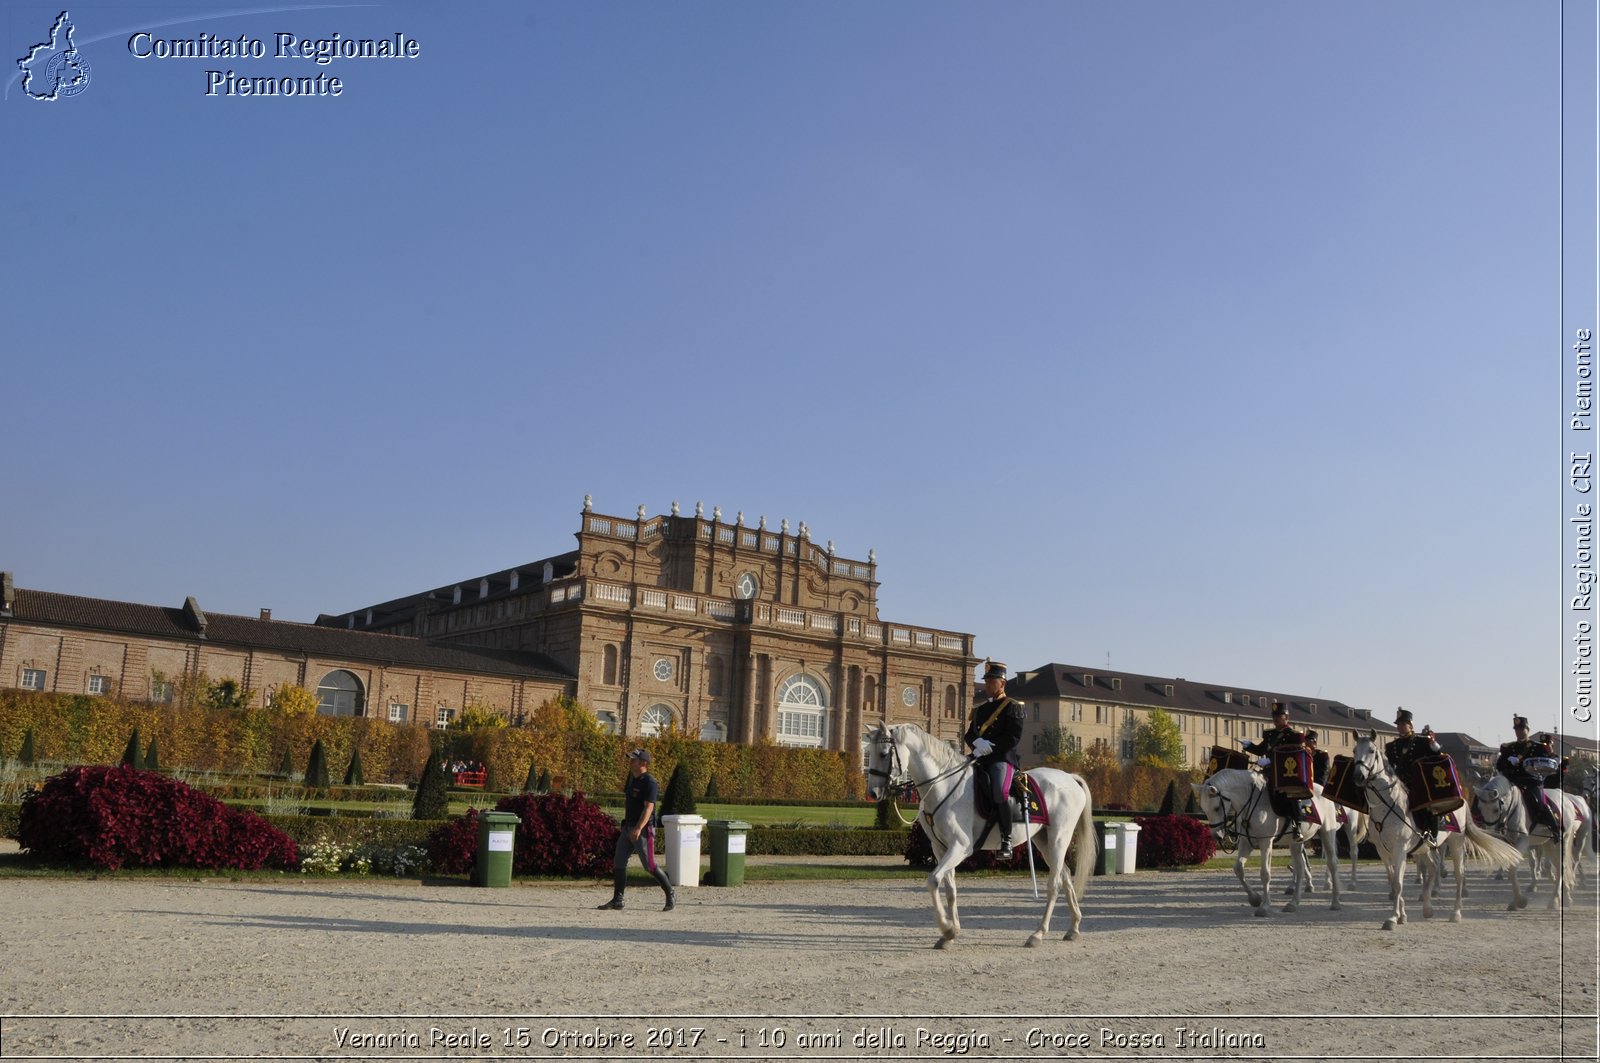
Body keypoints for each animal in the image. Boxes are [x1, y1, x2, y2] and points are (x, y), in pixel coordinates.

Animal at [864, 723, 1100, 947]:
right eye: (870, 753)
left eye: (883, 753)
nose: (873, 793)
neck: (943, 785)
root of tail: (1069, 777)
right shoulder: (940, 848)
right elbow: (950, 889)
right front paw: (951, 933)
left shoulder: (960, 846)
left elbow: (933, 881)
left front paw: (946, 928)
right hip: (1043, 840)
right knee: (1065, 875)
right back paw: (1073, 927)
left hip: (1059, 838)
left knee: (1055, 884)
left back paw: (1038, 933)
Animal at [1196, 768, 1344, 915]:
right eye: (1204, 809)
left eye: (1216, 808)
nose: (1217, 836)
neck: (1253, 801)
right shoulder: (1246, 842)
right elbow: (1238, 868)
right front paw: (1255, 898)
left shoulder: (1265, 842)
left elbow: (1265, 874)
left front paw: (1264, 906)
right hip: (1295, 843)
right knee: (1300, 868)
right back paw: (1293, 903)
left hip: (1327, 832)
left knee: (1332, 863)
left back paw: (1335, 902)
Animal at [1356, 730, 1516, 928]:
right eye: (1354, 750)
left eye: (1371, 751)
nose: (1358, 776)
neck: (1387, 806)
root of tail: (1464, 801)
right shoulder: (1383, 851)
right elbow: (1393, 882)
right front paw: (1401, 915)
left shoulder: (1400, 849)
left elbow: (1399, 884)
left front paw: (1393, 918)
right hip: (1425, 847)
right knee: (1433, 868)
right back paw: (1427, 908)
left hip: (1456, 843)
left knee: (1459, 875)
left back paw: (1455, 913)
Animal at [1472, 771, 1587, 902]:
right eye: (1480, 808)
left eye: (1496, 809)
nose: (1491, 831)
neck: (1512, 805)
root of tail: (1568, 801)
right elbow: (1526, 862)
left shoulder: (1522, 840)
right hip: (1549, 842)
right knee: (1557, 865)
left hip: (1570, 839)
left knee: (1570, 861)